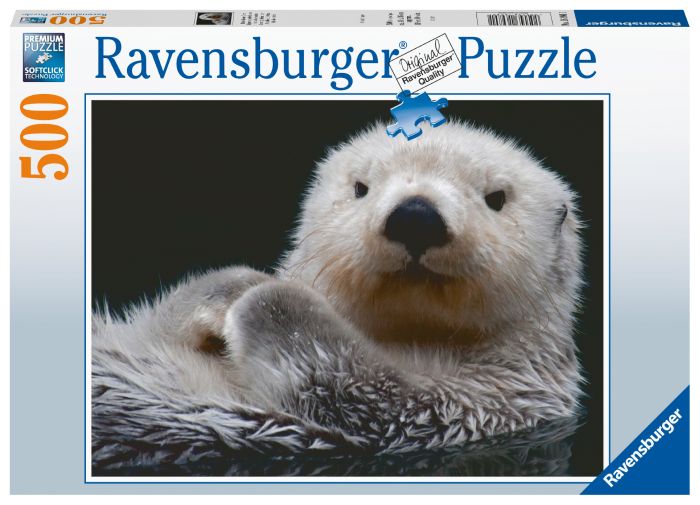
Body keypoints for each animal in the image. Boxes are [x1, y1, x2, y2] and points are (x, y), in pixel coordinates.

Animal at [92, 121, 584, 464]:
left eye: (497, 197)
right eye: (361, 188)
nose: (416, 216)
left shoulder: (477, 404)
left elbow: (355, 384)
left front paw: (265, 298)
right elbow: (157, 322)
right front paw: (233, 287)